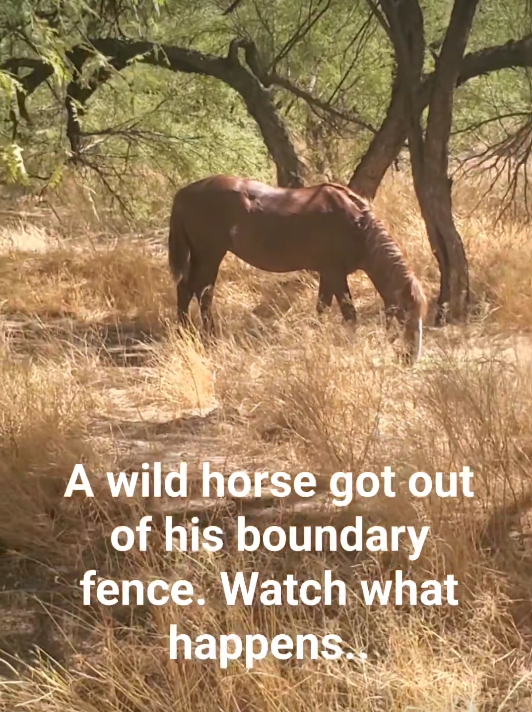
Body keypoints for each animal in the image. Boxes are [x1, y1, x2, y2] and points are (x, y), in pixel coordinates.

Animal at [167, 175, 428, 364]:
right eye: (406, 314)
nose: (410, 358)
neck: (357, 226)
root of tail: (182, 194)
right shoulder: (335, 274)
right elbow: (349, 313)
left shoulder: (327, 274)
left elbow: (322, 308)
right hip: (210, 254)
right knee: (201, 292)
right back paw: (206, 338)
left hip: (203, 255)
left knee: (188, 290)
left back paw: (186, 333)